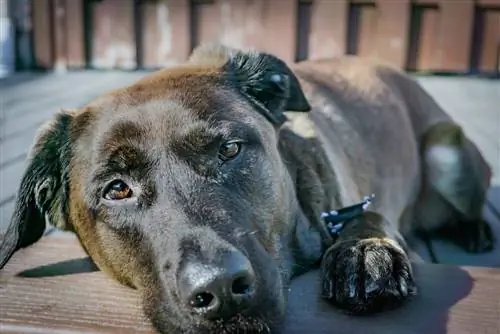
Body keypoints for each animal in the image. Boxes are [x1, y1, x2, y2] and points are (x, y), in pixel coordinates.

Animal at [0, 44, 492, 334]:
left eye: (230, 149)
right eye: (116, 189)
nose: (219, 289)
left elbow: (368, 214)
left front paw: (364, 250)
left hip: (446, 154)